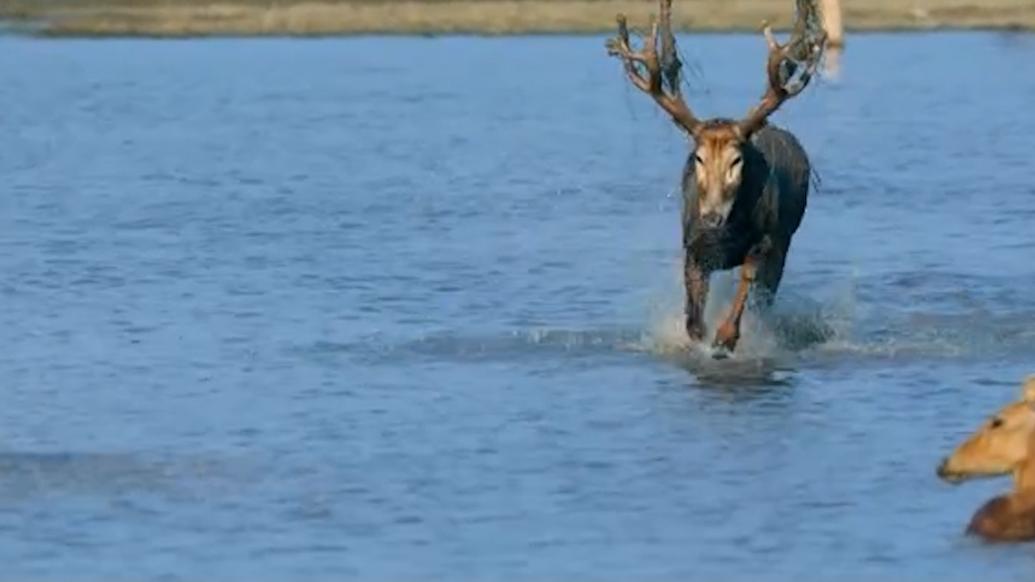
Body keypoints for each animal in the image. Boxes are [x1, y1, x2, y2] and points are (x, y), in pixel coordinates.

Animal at [604, 0, 823, 354]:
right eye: (699, 157)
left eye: (737, 160)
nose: (712, 217)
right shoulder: (693, 246)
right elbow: (693, 320)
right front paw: (699, 337)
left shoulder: (766, 241)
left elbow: (745, 289)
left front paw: (725, 338)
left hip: (785, 239)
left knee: (765, 297)